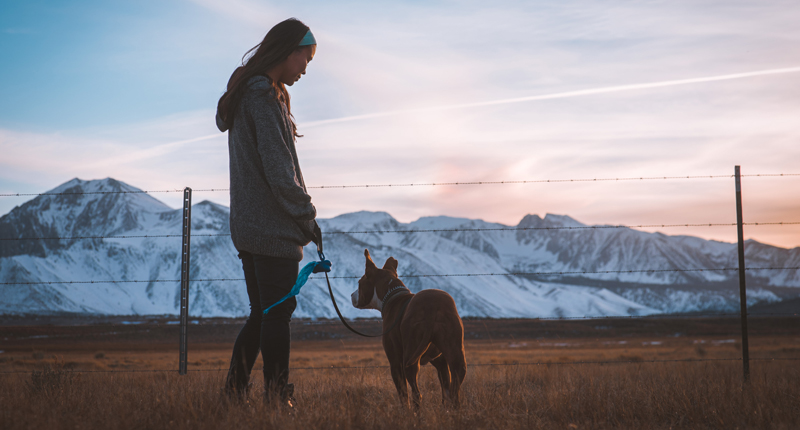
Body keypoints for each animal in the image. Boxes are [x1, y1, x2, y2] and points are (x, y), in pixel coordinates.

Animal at [352, 247, 468, 408]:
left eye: (359, 283)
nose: (351, 295)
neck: (392, 294)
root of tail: (432, 308)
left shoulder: (395, 362)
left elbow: (403, 394)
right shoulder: (440, 362)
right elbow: (446, 389)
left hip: (410, 358)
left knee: (416, 394)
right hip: (454, 353)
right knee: (455, 390)